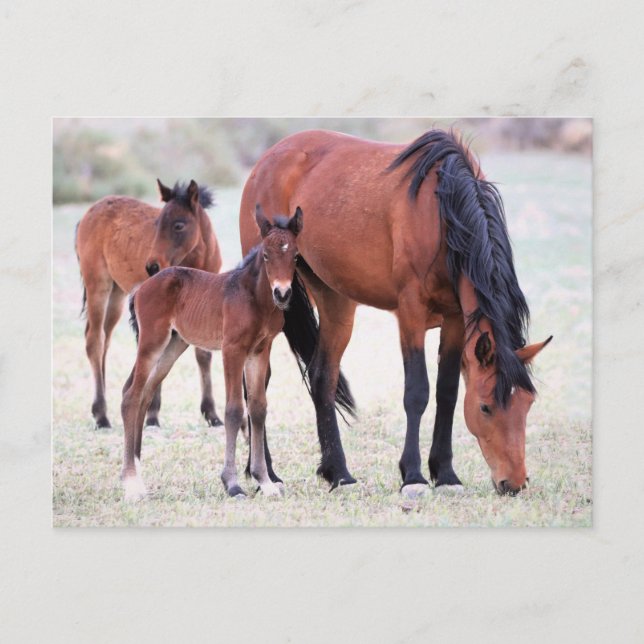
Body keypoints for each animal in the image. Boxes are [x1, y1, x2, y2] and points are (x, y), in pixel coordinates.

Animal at [75, 179, 223, 429]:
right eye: (157, 223)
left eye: (178, 225)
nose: (152, 266)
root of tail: (88, 213)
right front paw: (152, 415)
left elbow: (203, 354)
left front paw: (212, 414)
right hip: (98, 284)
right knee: (94, 340)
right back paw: (102, 415)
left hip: (117, 295)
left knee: (105, 340)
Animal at [120, 205, 303, 501]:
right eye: (265, 255)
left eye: (295, 256)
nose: (282, 293)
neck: (255, 298)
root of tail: (140, 288)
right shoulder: (232, 350)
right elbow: (234, 410)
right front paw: (232, 484)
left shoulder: (260, 351)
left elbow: (258, 408)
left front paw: (265, 482)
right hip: (152, 342)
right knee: (131, 397)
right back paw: (132, 483)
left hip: (173, 346)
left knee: (143, 393)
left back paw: (136, 469)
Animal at [239, 128, 552, 497]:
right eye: (485, 407)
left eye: (528, 403)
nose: (514, 483)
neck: (443, 211)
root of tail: (267, 158)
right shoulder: (411, 313)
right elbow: (417, 391)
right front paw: (413, 476)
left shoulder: (455, 319)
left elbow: (446, 393)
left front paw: (445, 474)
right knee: (256, 385)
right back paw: (265, 473)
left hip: (335, 302)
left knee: (322, 378)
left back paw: (338, 473)